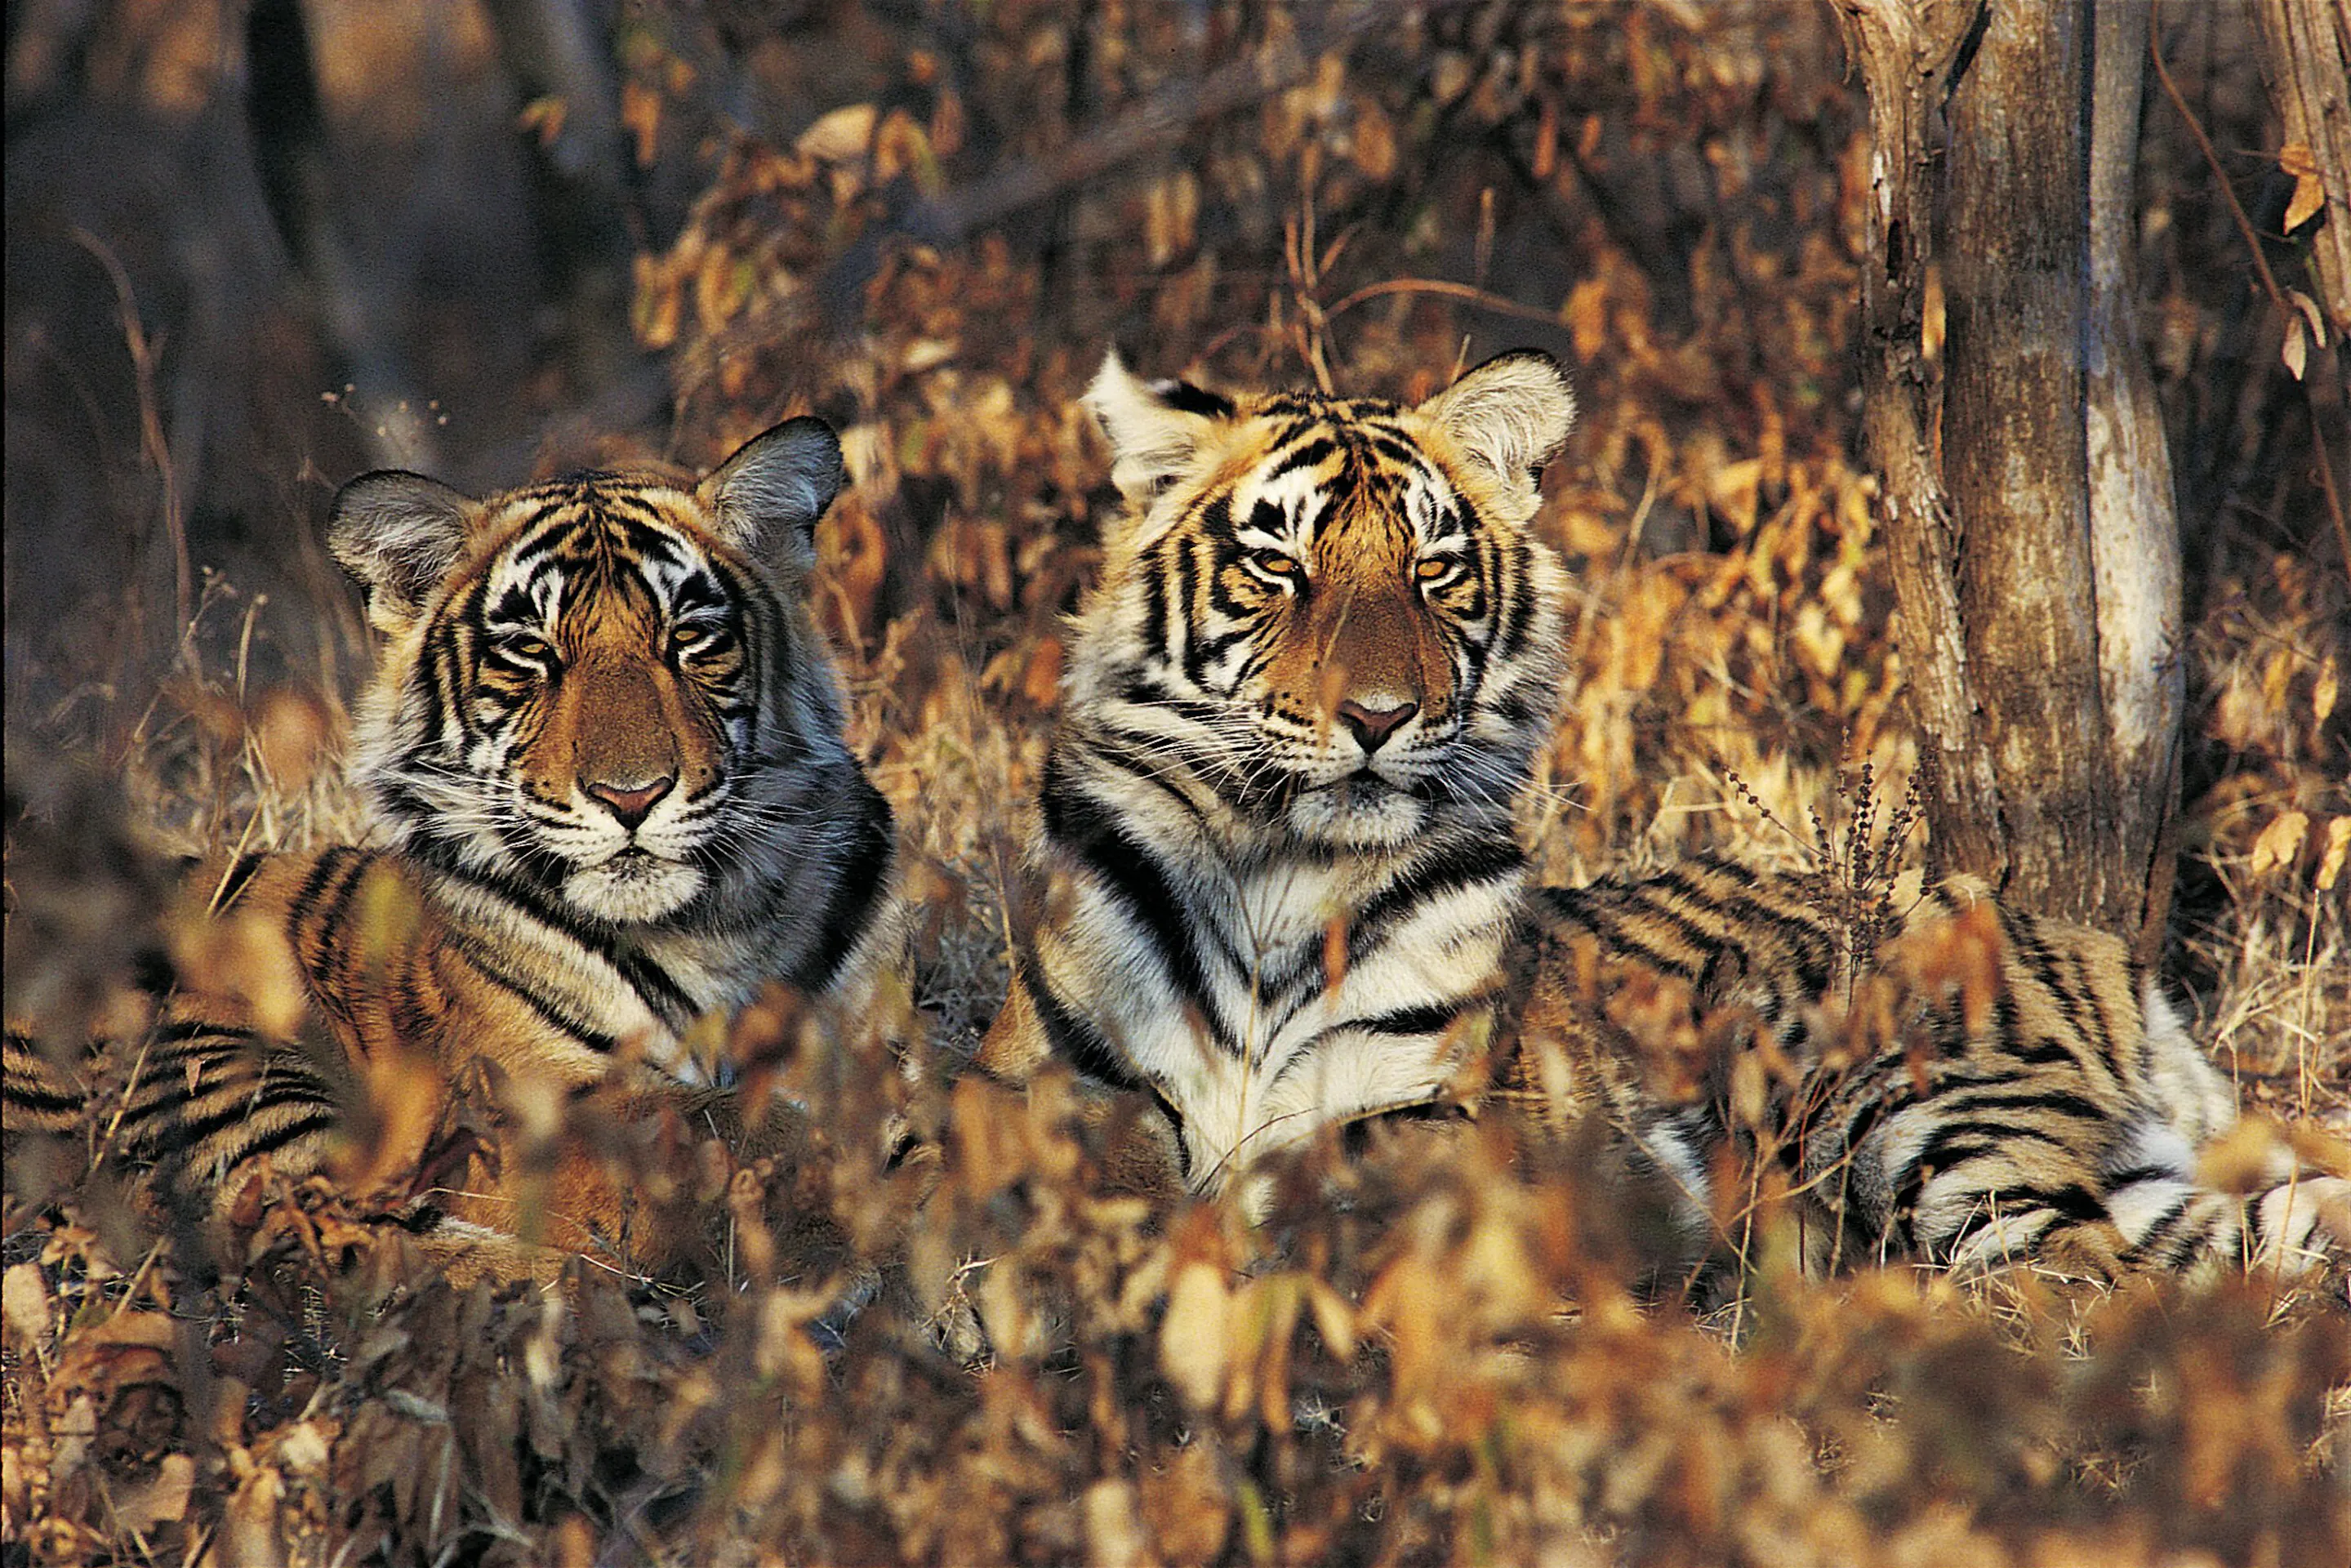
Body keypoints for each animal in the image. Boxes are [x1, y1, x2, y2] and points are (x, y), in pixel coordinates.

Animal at [4, 417, 901, 1278]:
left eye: (689, 638)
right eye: (531, 652)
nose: (631, 797)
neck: (721, 925)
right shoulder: (523, 1109)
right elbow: (724, 1127)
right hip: (212, 1065)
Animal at [978, 349, 2347, 1290]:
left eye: (1431, 570)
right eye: (1279, 566)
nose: (1377, 717)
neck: (1279, 870)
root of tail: (2085, 944)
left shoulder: (1422, 1120)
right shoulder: (1055, 1081)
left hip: (1914, 1107)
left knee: (2081, 1281)